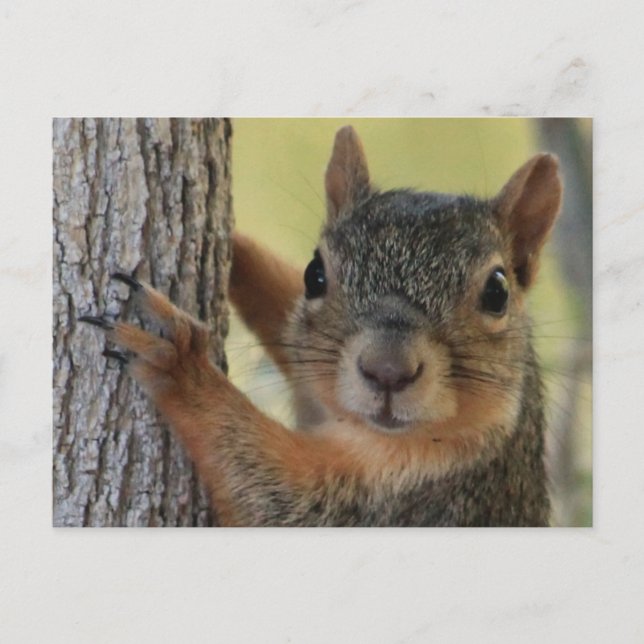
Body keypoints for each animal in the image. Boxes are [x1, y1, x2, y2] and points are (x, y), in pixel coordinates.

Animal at [80, 126, 562, 526]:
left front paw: (179, 360)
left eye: (497, 292)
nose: (388, 370)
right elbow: (286, 321)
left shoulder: (405, 506)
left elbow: (270, 495)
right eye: (314, 275)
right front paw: (238, 246)